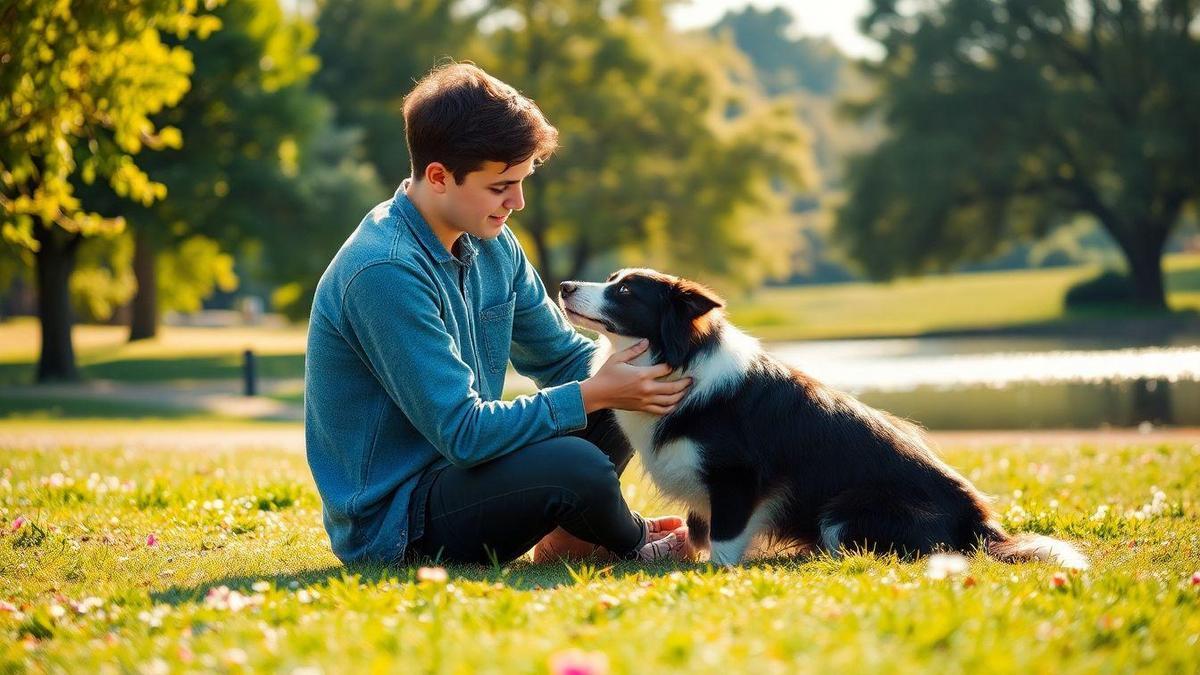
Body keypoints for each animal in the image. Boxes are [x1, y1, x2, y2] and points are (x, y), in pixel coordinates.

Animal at [556, 265, 1094, 564]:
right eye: (611, 281)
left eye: (626, 292)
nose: (562, 285)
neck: (677, 355)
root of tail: (981, 525)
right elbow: (698, 528)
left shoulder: (735, 476)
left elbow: (724, 539)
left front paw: (716, 572)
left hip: (845, 514)